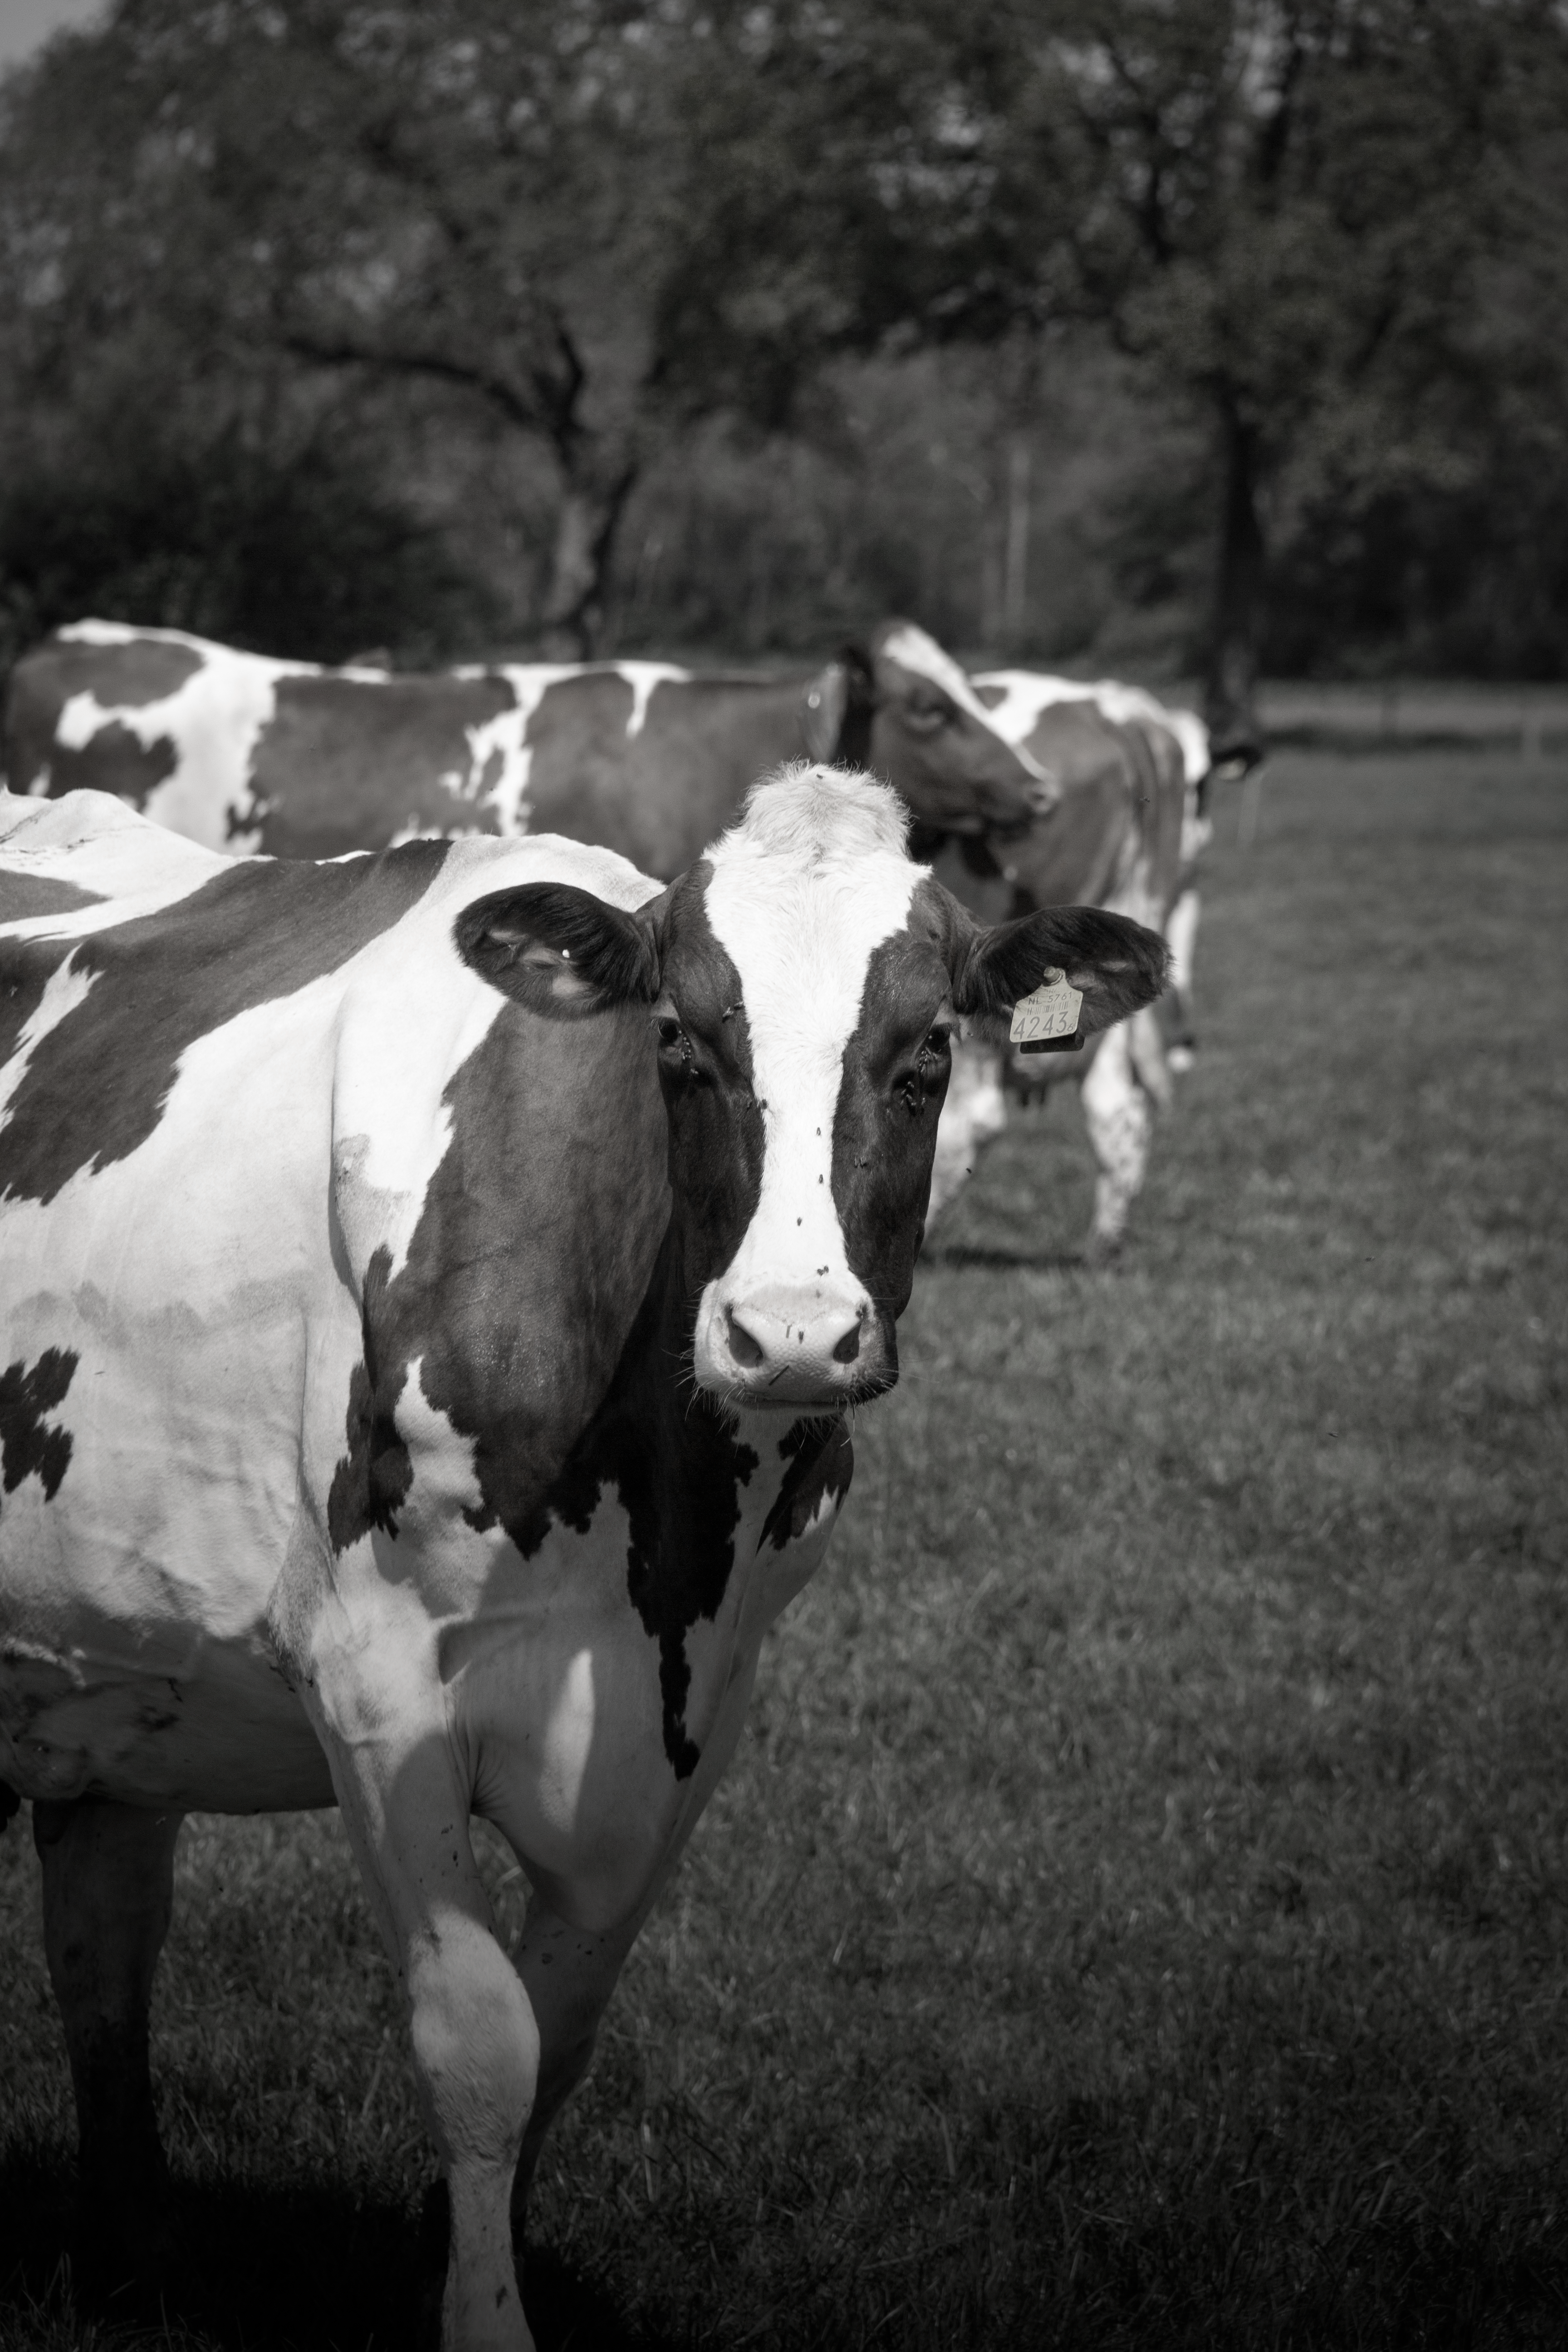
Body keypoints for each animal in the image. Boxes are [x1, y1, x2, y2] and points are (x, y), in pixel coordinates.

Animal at [0, 769, 1166, 2349]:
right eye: (678, 1040)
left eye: (928, 1051)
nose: (791, 1333)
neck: (658, 1539)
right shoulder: (375, 1685)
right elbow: (482, 2039)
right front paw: (482, 2317)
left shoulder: (700, 1716)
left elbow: (564, 2033)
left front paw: (440, 2261)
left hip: (109, 1682)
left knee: (104, 1945)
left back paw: (134, 2262)